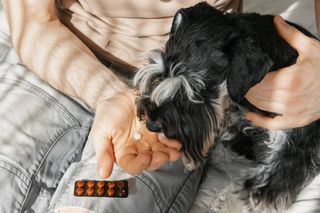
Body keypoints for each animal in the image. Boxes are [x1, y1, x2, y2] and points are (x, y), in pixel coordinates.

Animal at [132, 2, 320, 213]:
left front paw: (224, 203)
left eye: (201, 90)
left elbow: (258, 190)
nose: (151, 124)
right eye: (161, 71)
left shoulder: (293, 146)